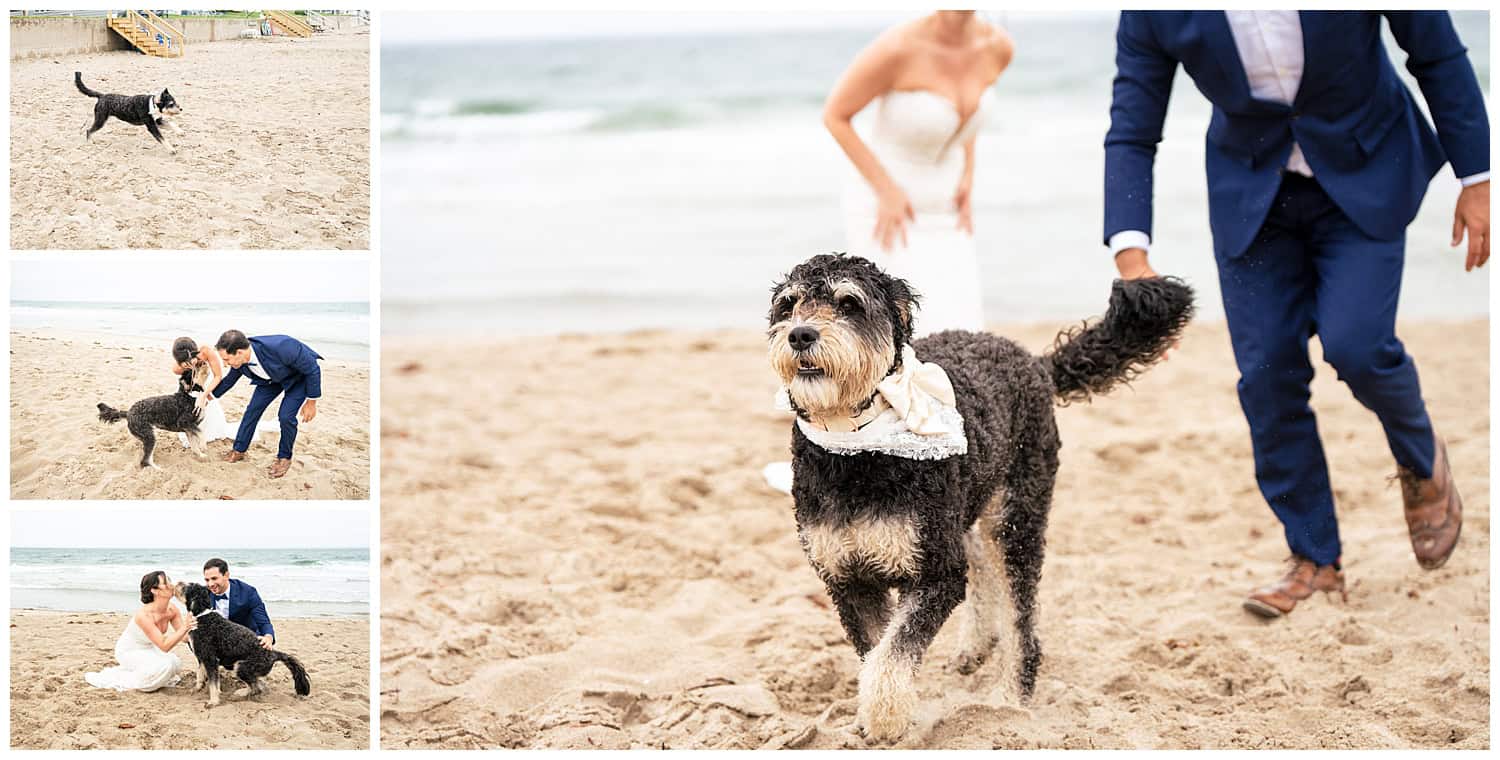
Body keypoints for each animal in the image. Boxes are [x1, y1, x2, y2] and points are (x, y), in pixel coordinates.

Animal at [172, 581, 307, 707]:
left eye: (187, 587)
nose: (178, 582)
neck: (201, 616)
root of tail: (273, 653)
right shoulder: (201, 657)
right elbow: (200, 674)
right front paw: (197, 688)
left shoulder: (210, 659)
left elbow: (213, 684)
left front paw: (213, 701)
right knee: (258, 685)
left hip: (241, 667)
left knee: (256, 688)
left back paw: (240, 694)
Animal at [768, 256, 1188, 743]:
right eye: (788, 304)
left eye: (849, 303)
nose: (801, 335)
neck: (852, 453)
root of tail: (1031, 362)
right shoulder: (847, 578)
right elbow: (875, 649)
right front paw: (878, 716)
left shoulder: (937, 572)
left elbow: (893, 653)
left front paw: (886, 720)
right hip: (964, 511)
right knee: (983, 567)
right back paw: (976, 646)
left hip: (1015, 517)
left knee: (1021, 618)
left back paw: (1009, 698)